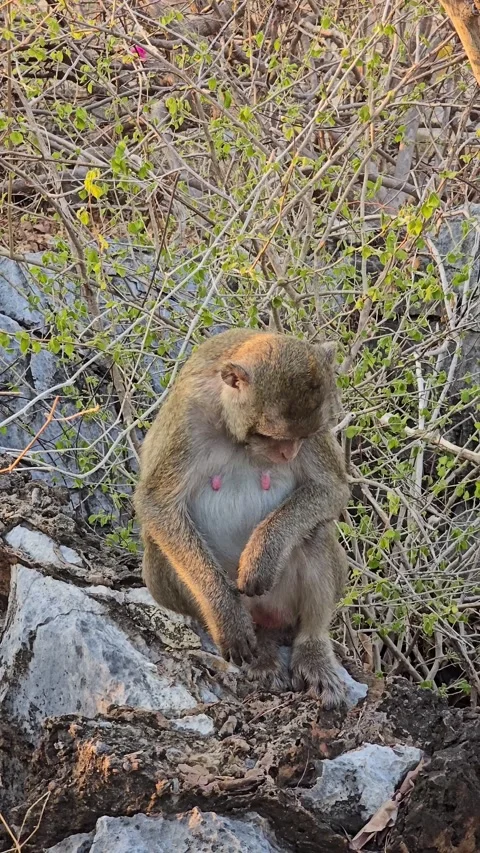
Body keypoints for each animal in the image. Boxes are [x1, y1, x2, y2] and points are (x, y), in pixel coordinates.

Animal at [134, 329, 350, 708]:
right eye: (271, 435)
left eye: (304, 437)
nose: (289, 453)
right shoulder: (187, 418)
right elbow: (158, 504)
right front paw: (226, 616)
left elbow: (331, 489)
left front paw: (263, 553)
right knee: (159, 546)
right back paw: (256, 645)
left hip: (282, 604)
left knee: (315, 531)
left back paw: (312, 649)